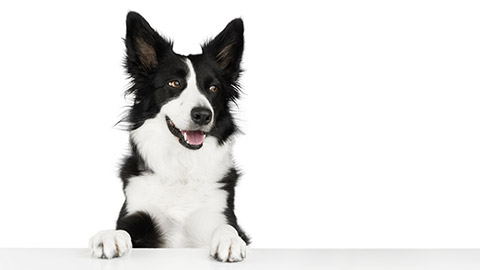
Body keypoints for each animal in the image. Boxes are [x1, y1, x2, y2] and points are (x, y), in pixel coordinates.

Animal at [87, 11, 249, 262]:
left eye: (213, 88)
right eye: (175, 83)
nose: (203, 115)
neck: (182, 165)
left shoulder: (216, 215)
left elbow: (228, 228)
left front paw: (230, 241)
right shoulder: (139, 214)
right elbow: (123, 228)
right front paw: (109, 236)